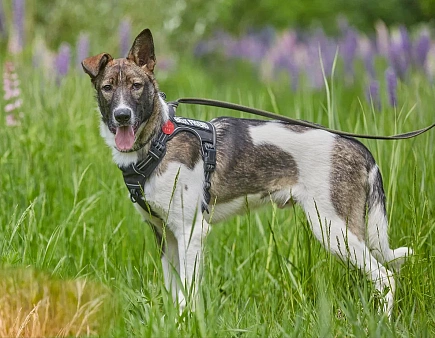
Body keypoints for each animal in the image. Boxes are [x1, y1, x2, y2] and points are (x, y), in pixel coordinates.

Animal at [82, 27, 412, 316]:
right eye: (107, 88)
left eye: (136, 86)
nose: (122, 116)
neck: (158, 142)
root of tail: (359, 147)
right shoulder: (165, 235)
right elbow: (175, 293)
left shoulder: (191, 232)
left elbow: (188, 294)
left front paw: (187, 322)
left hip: (334, 229)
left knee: (385, 277)